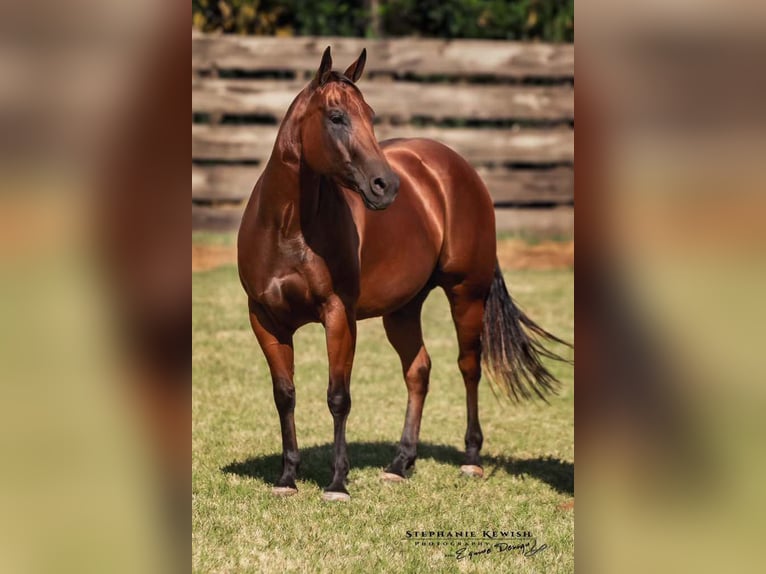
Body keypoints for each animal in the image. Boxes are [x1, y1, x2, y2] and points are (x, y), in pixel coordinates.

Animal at [240, 46, 568, 504]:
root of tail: (455, 167)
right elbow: (284, 395)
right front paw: (287, 478)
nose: (386, 186)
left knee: (468, 367)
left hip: (466, 294)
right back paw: (400, 463)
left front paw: (338, 483)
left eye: (371, 116)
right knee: (419, 371)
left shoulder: (338, 316)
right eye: (337, 117)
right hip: (402, 310)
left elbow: (338, 396)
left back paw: (471, 458)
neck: (288, 228)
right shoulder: (265, 319)